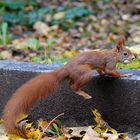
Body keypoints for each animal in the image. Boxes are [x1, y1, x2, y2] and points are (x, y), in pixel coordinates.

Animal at [2, 38, 135, 136]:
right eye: (125, 53)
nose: (134, 57)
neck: (113, 54)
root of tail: (67, 68)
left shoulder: (101, 66)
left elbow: (101, 71)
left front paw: (104, 75)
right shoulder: (110, 63)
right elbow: (111, 71)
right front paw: (125, 74)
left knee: (71, 83)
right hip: (84, 72)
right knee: (73, 87)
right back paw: (83, 94)